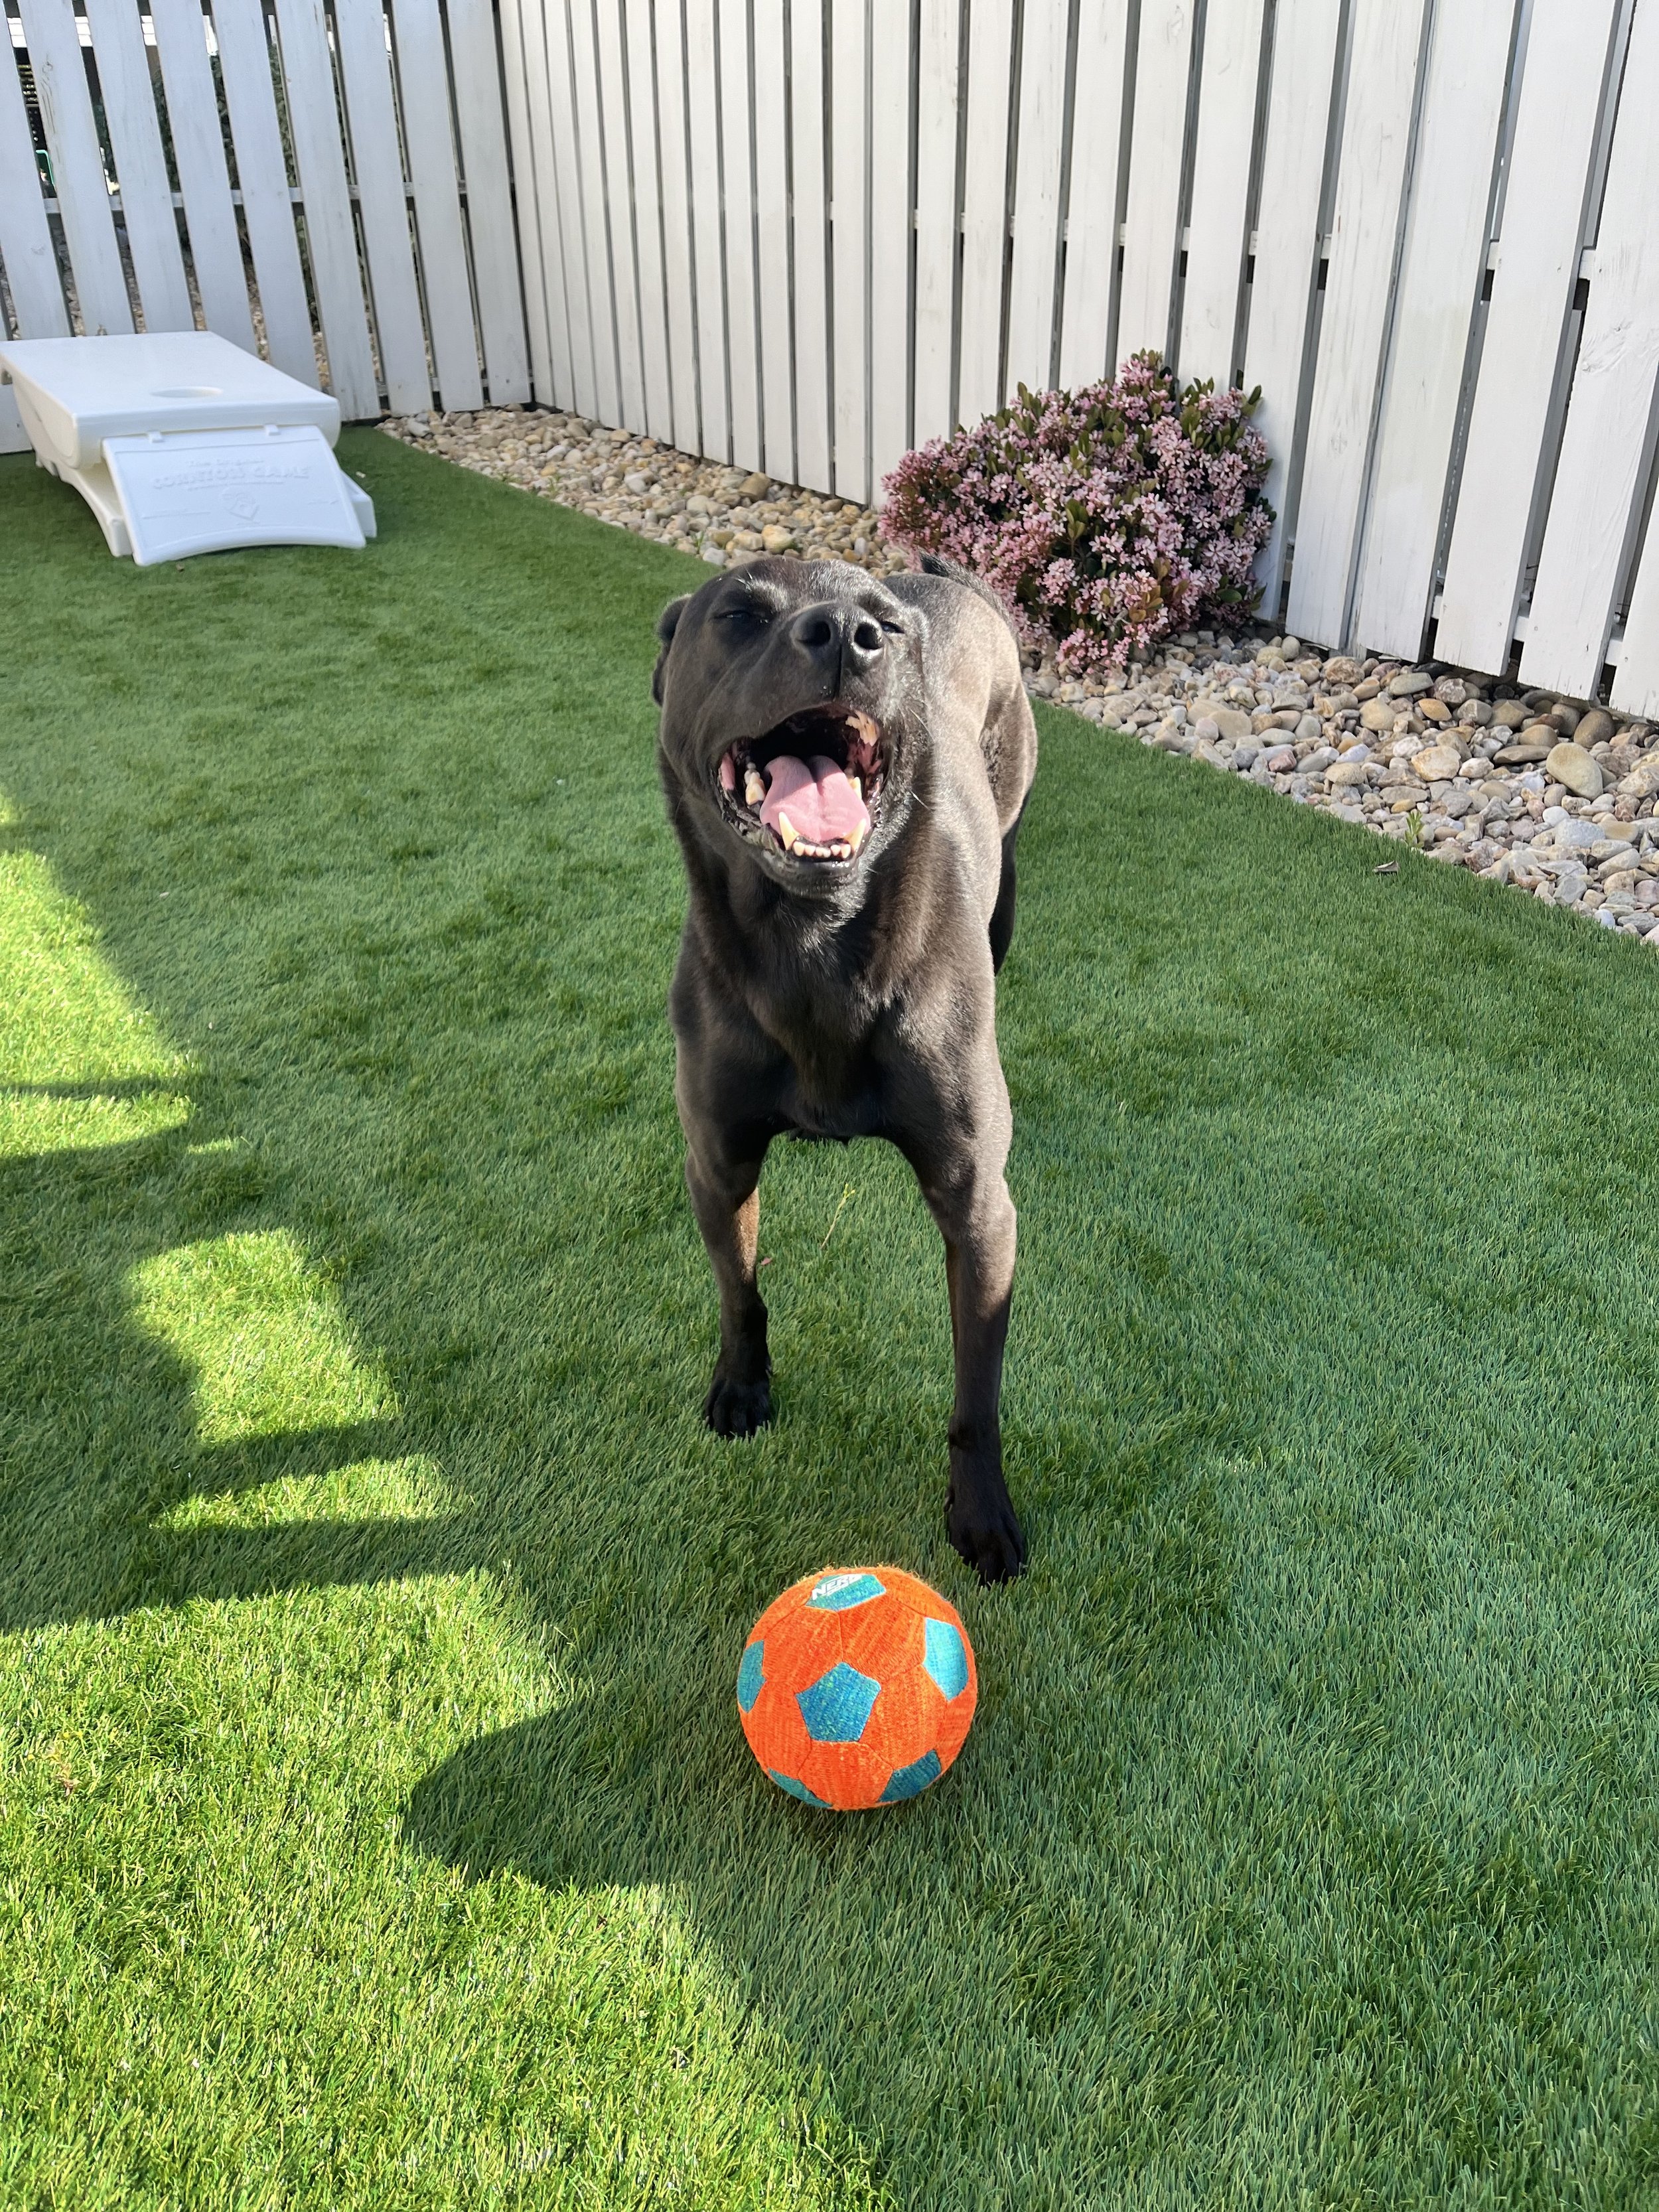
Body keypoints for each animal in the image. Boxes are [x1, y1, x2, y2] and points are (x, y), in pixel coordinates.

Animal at [652, 553, 1037, 1584]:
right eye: (740, 614)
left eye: (885, 628)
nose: (843, 636)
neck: (814, 940)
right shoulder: (717, 1162)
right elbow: (739, 1289)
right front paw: (741, 1388)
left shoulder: (979, 1210)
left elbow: (976, 1392)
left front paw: (980, 1512)